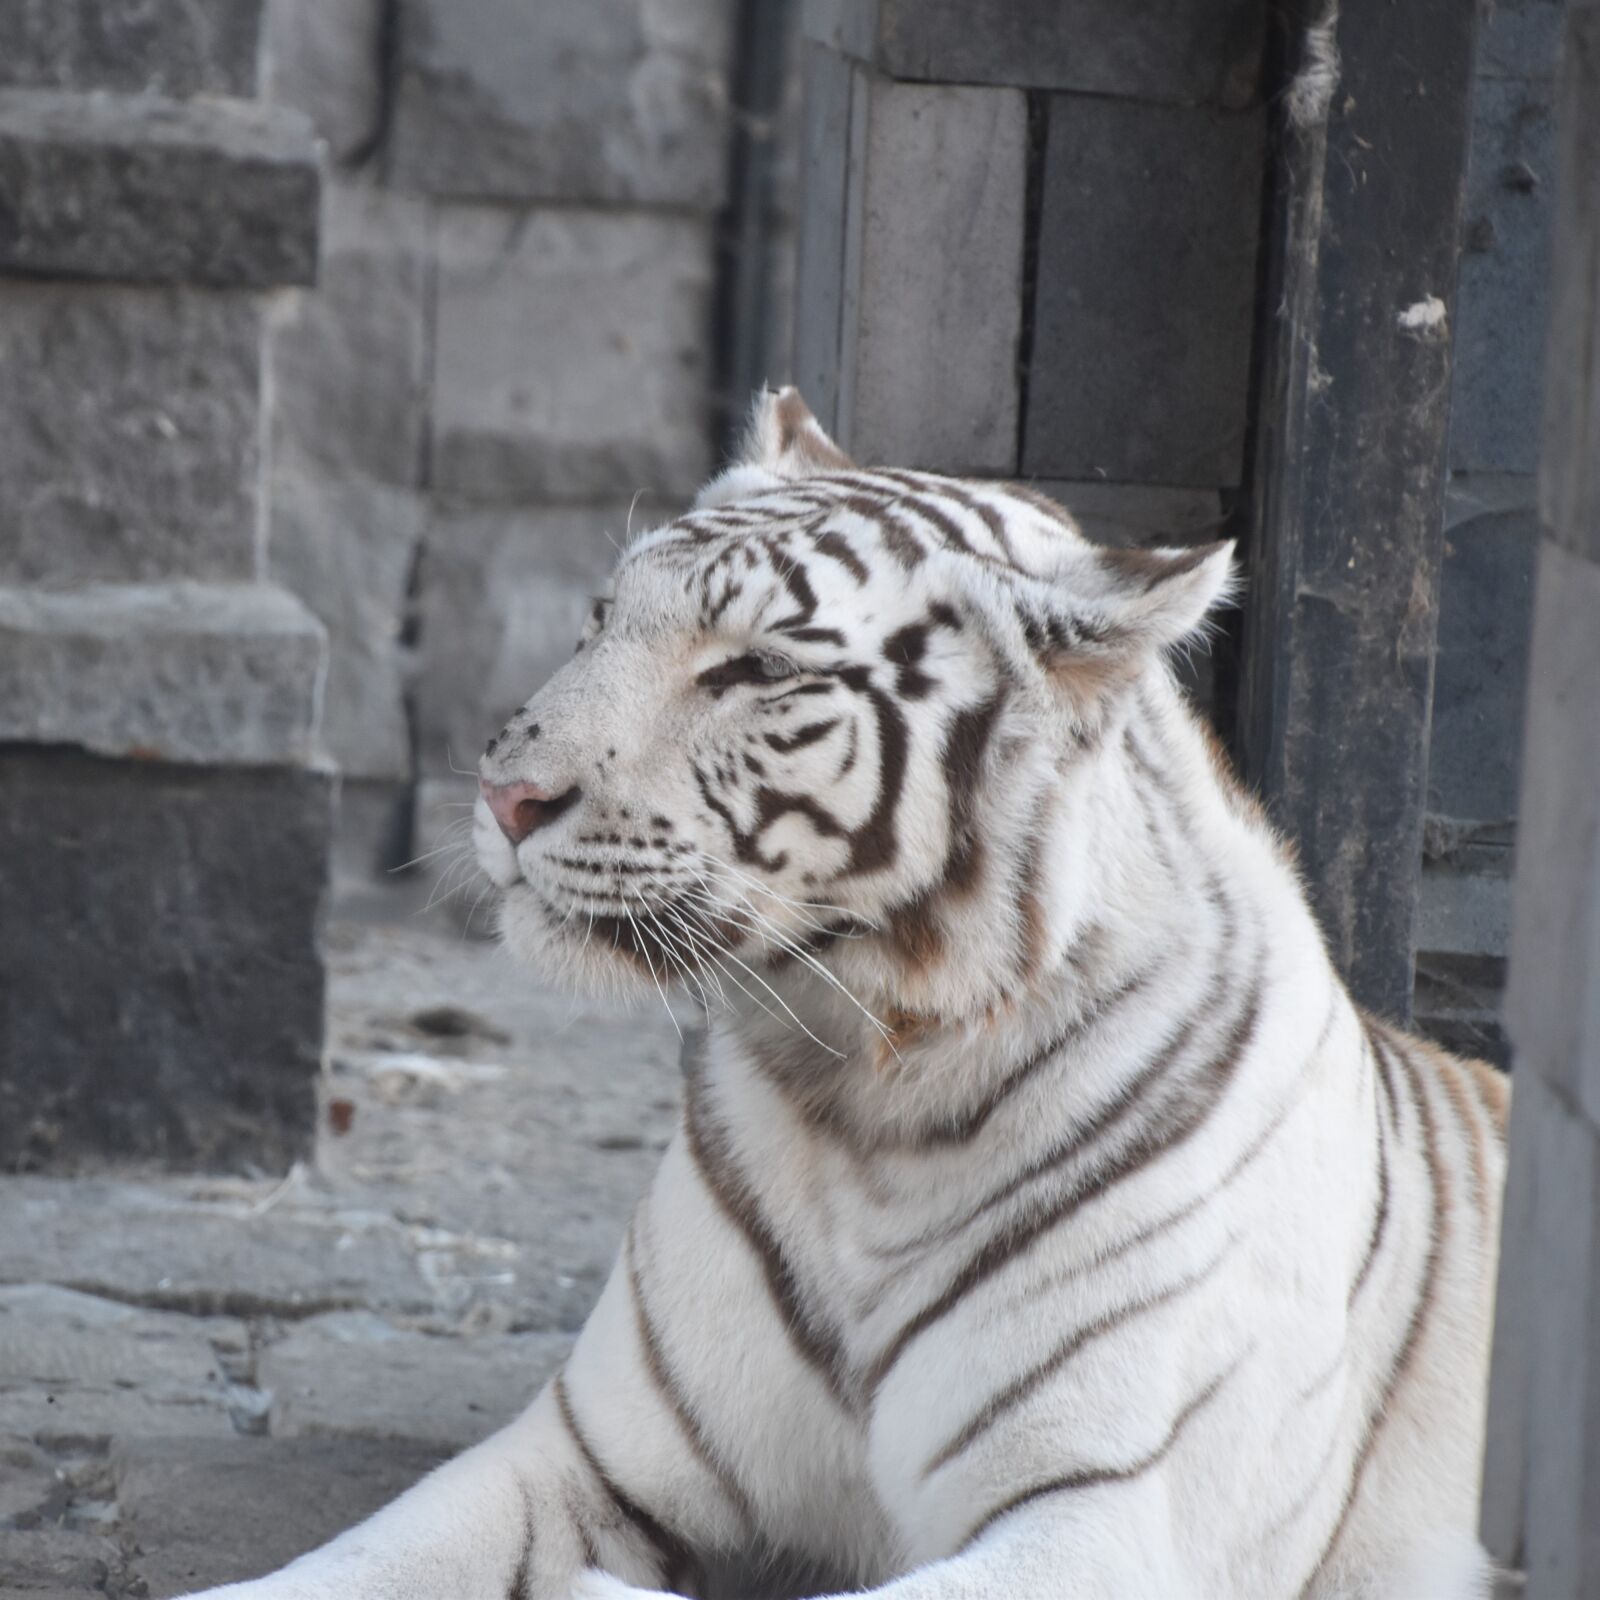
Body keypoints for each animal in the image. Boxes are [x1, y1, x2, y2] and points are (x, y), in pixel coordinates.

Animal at [192, 388, 1509, 1600]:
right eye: (601, 618)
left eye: (754, 670)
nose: (505, 794)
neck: (869, 1091)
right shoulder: (588, 1452)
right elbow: (356, 1559)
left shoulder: (1095, 1522)